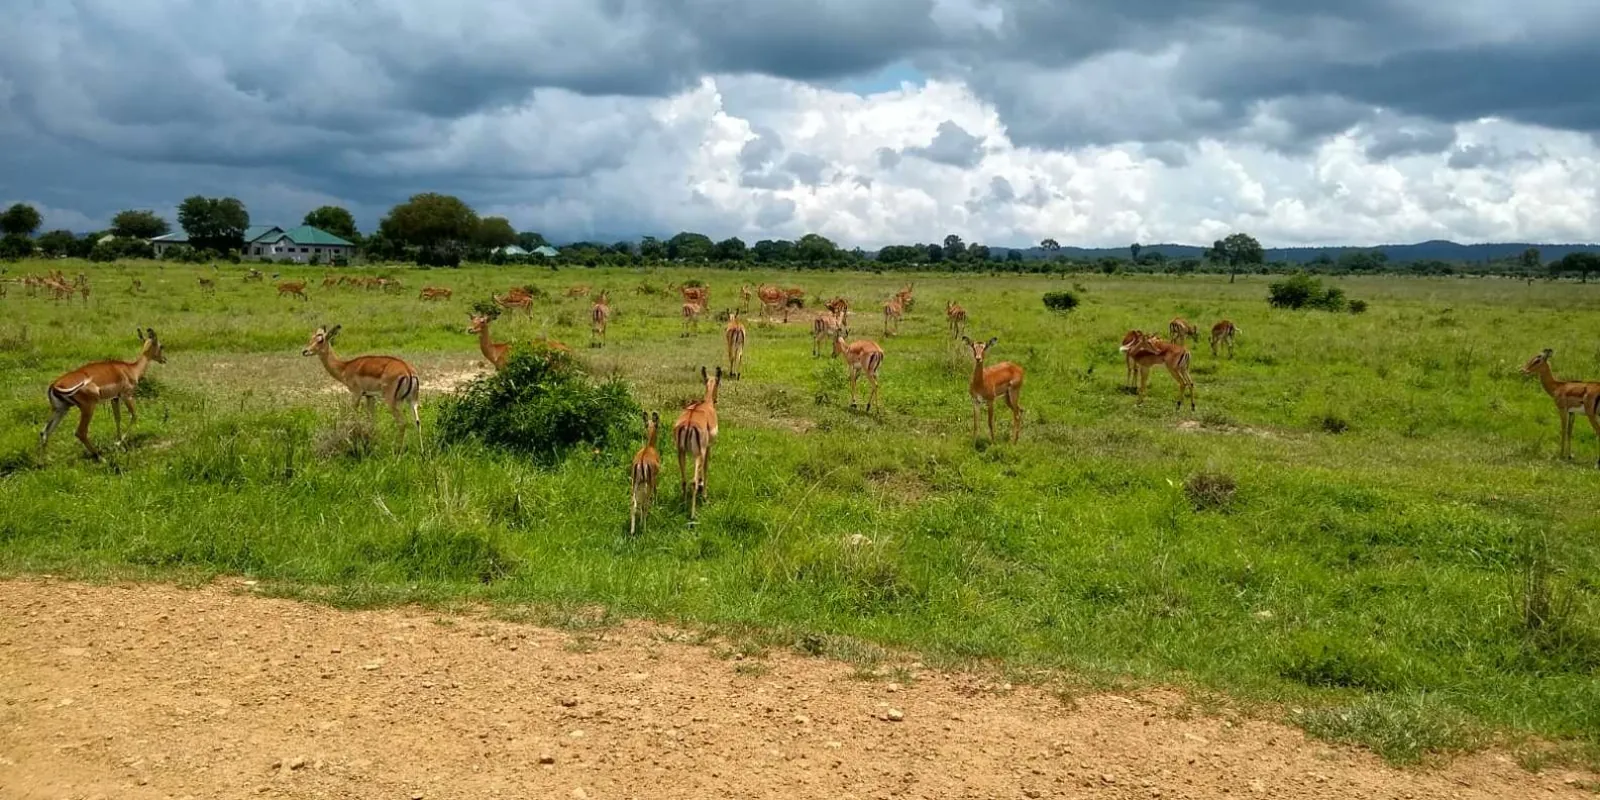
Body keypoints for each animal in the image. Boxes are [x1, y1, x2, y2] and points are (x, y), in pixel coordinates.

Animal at [40, 327, 167, 460]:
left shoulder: (114, 398)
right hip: (87, 407)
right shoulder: (127, 396)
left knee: (45, 431)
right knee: (80, 432)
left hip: (61, 409)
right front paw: (118, 443)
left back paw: (43, 461)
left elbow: (117, 418)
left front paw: (119, 443)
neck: (131, 369)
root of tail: (55, 385)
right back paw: (101, 457)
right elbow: (134, 416)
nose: (164, 359)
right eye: (161, 346)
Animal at [672, 366, 722, 522]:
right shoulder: (708, 448)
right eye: (720, 382)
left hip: (681, 452)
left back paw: (683, 505)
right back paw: (693, 515)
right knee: (692, 481)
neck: (707, 404)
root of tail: (688, 423)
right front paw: (704, 494)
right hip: (697, 454)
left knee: (683, 480)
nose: (716, 399)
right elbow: (705, 468)